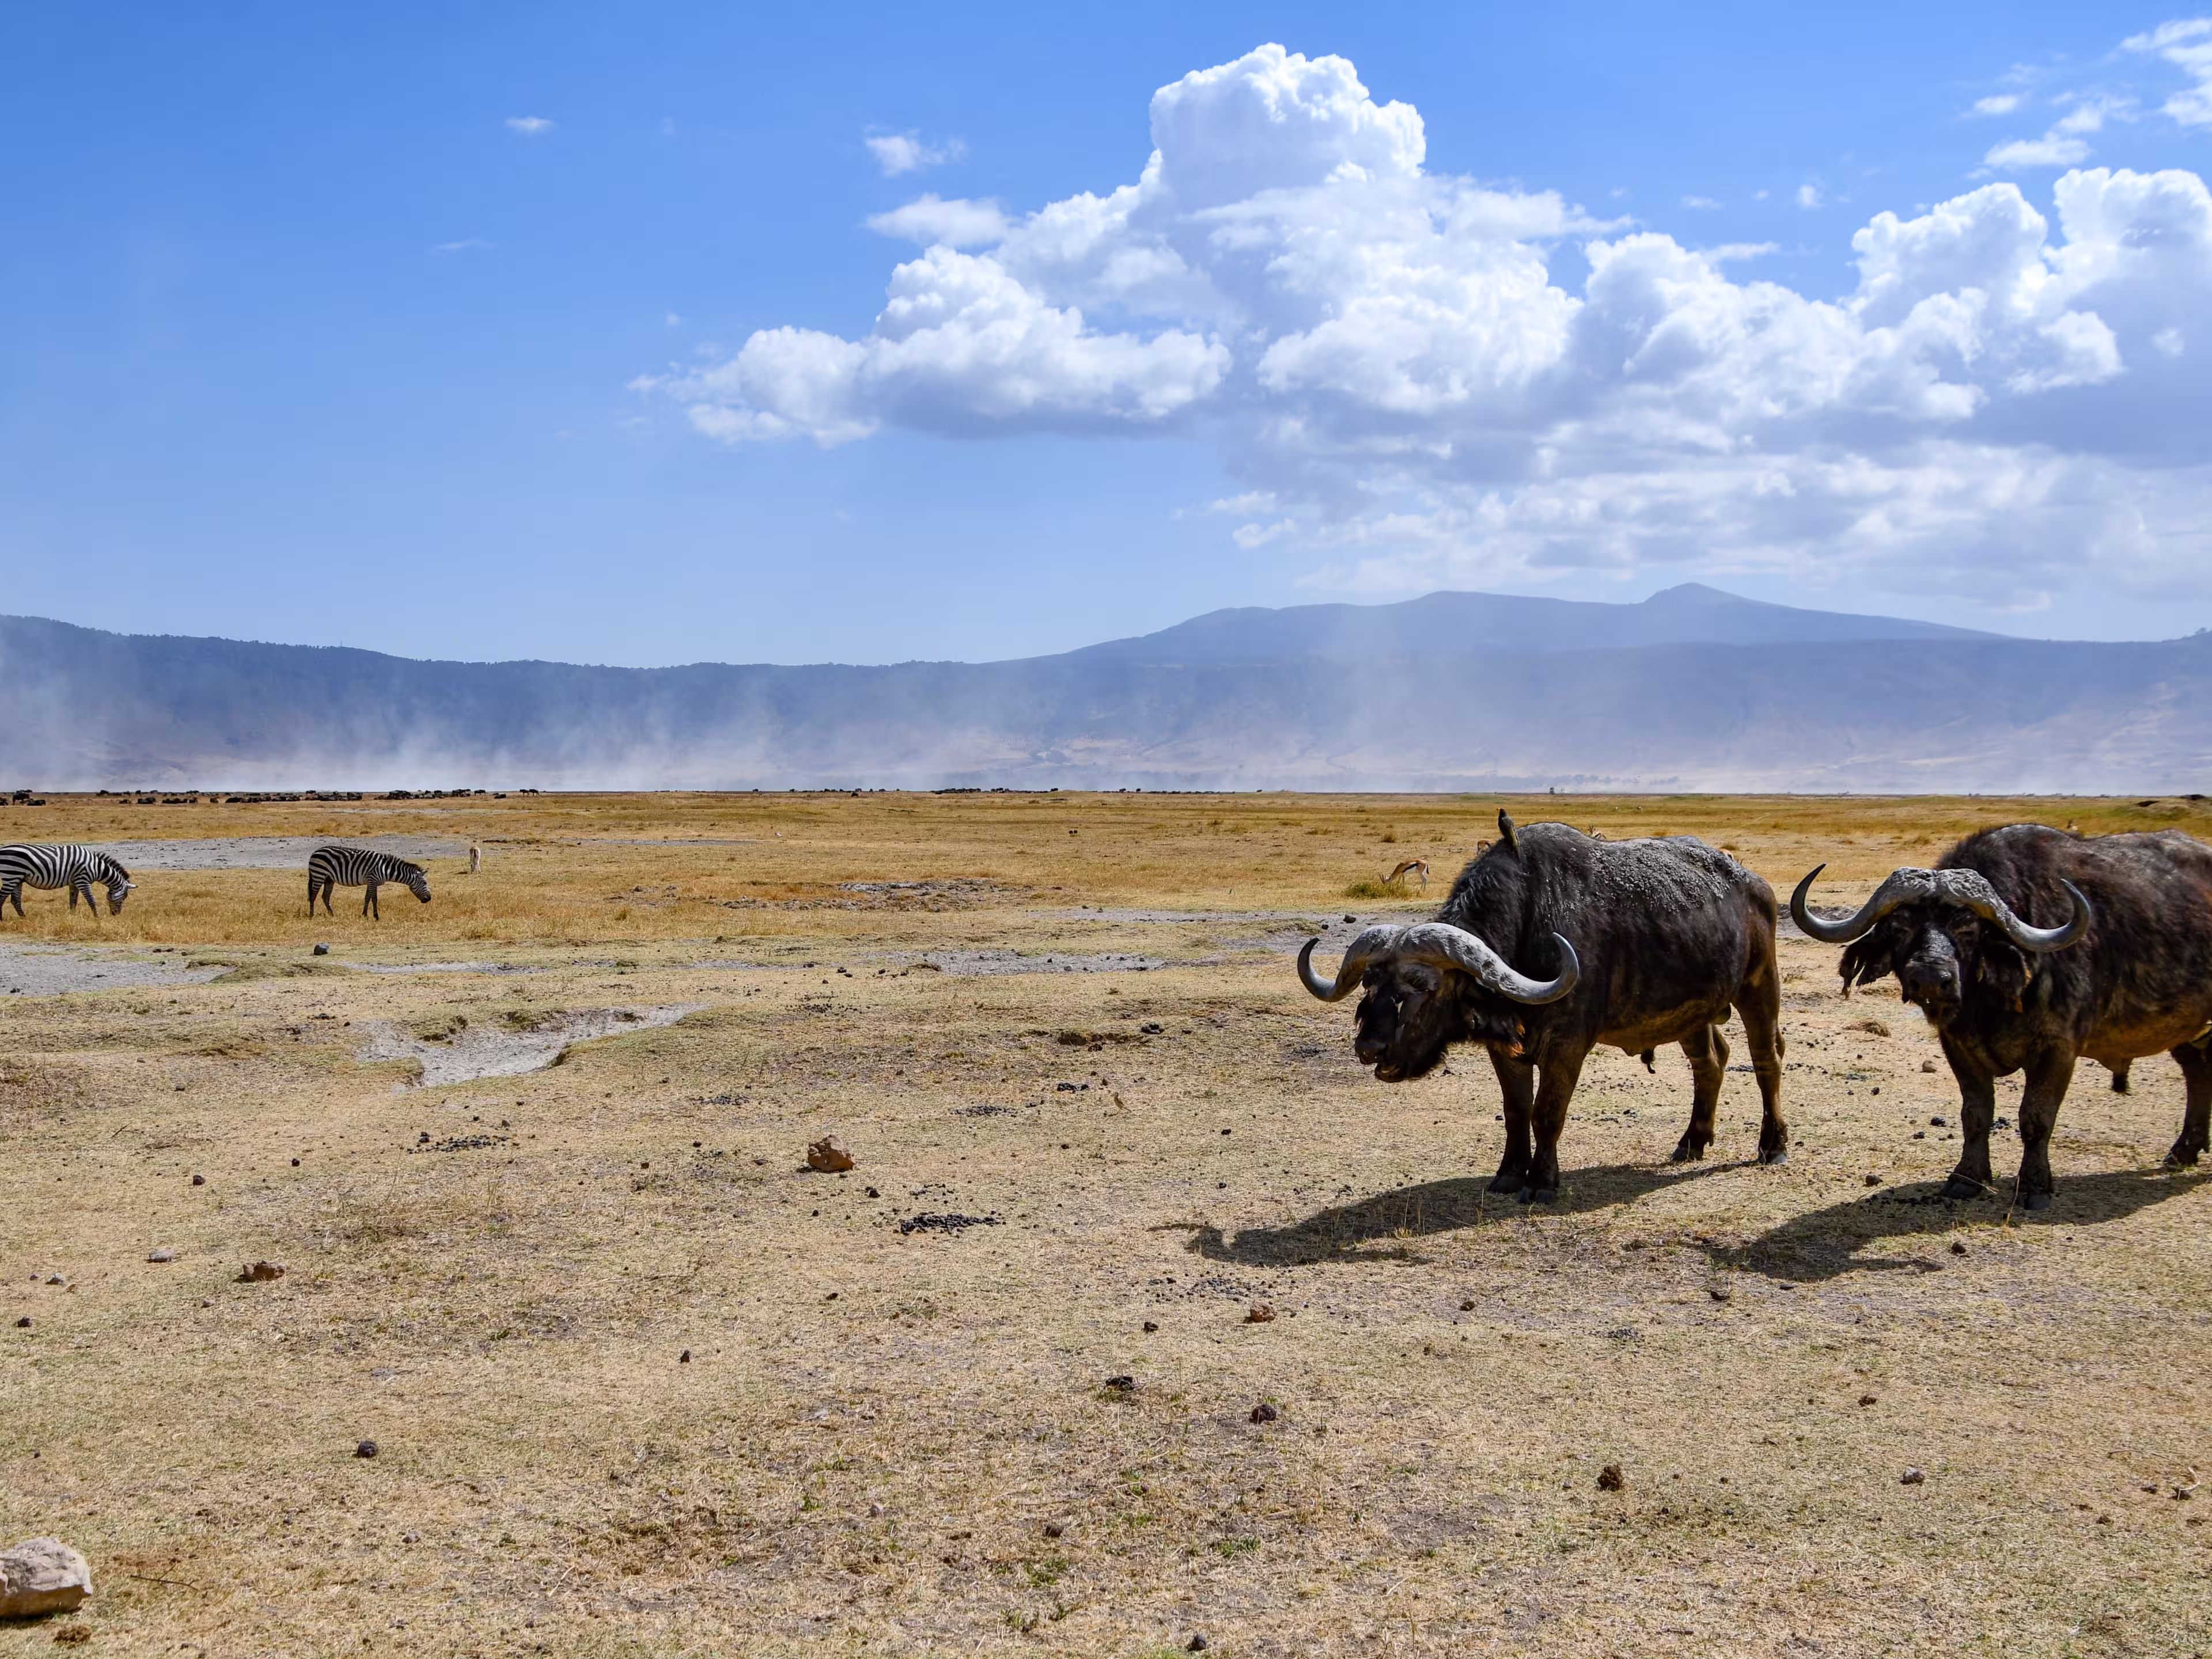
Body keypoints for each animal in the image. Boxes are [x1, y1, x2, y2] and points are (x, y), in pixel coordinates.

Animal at [0, 844, 136, 917]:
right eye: (124, 898)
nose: (116, 914)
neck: (96, 867)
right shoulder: (83, 880)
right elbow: (91, 900)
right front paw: (97, 918)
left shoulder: (74, 883)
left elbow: (73, 901)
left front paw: (72, 916)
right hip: (11, 875)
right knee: (2, 898)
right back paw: (2, 920)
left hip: (18, 878)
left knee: (15, 900)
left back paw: (24, 918)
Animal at [307, 846, 432, 918]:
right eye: (425, 883)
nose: (429, 899)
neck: (386, 869)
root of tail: (315, 852)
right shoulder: (373, 880)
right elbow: (375, 899)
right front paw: (376, 916)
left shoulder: (370, 882)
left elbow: (367, 898)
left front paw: (365, 915)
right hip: (319, 874)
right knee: (313, 895)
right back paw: (312, 915)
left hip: (329, 879)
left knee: (325, 897)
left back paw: (333, 915)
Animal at [1299, 812, 1787, 1202]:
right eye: (1370, 983)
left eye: (1423, 985)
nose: (1370, 1048)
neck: (1529, 922)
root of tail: (1755, 884)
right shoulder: (1505, 1048)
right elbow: (1517, 1113)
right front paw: (1509, 1176)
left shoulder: (1567, 1046)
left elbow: (1547, 1112)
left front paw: (1542, 1182)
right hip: (1693, 1014)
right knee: (1712, 1062)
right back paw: (1692, 1142)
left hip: (1760, 987)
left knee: (1767, 1059)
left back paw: (1773, 1145)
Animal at [1791, 824, 2212, 1208]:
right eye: (1900, 925)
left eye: (1967, 926)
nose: (1929, 978)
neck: (1988, 1004)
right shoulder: (1958, 1046)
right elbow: (1975, 1114)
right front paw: (1966, 1179)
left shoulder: (2057, 1050)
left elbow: (2035, 1118)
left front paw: (2035, 1187)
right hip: (2186, 1032)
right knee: (2197, 1073)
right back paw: (2183, 1152)